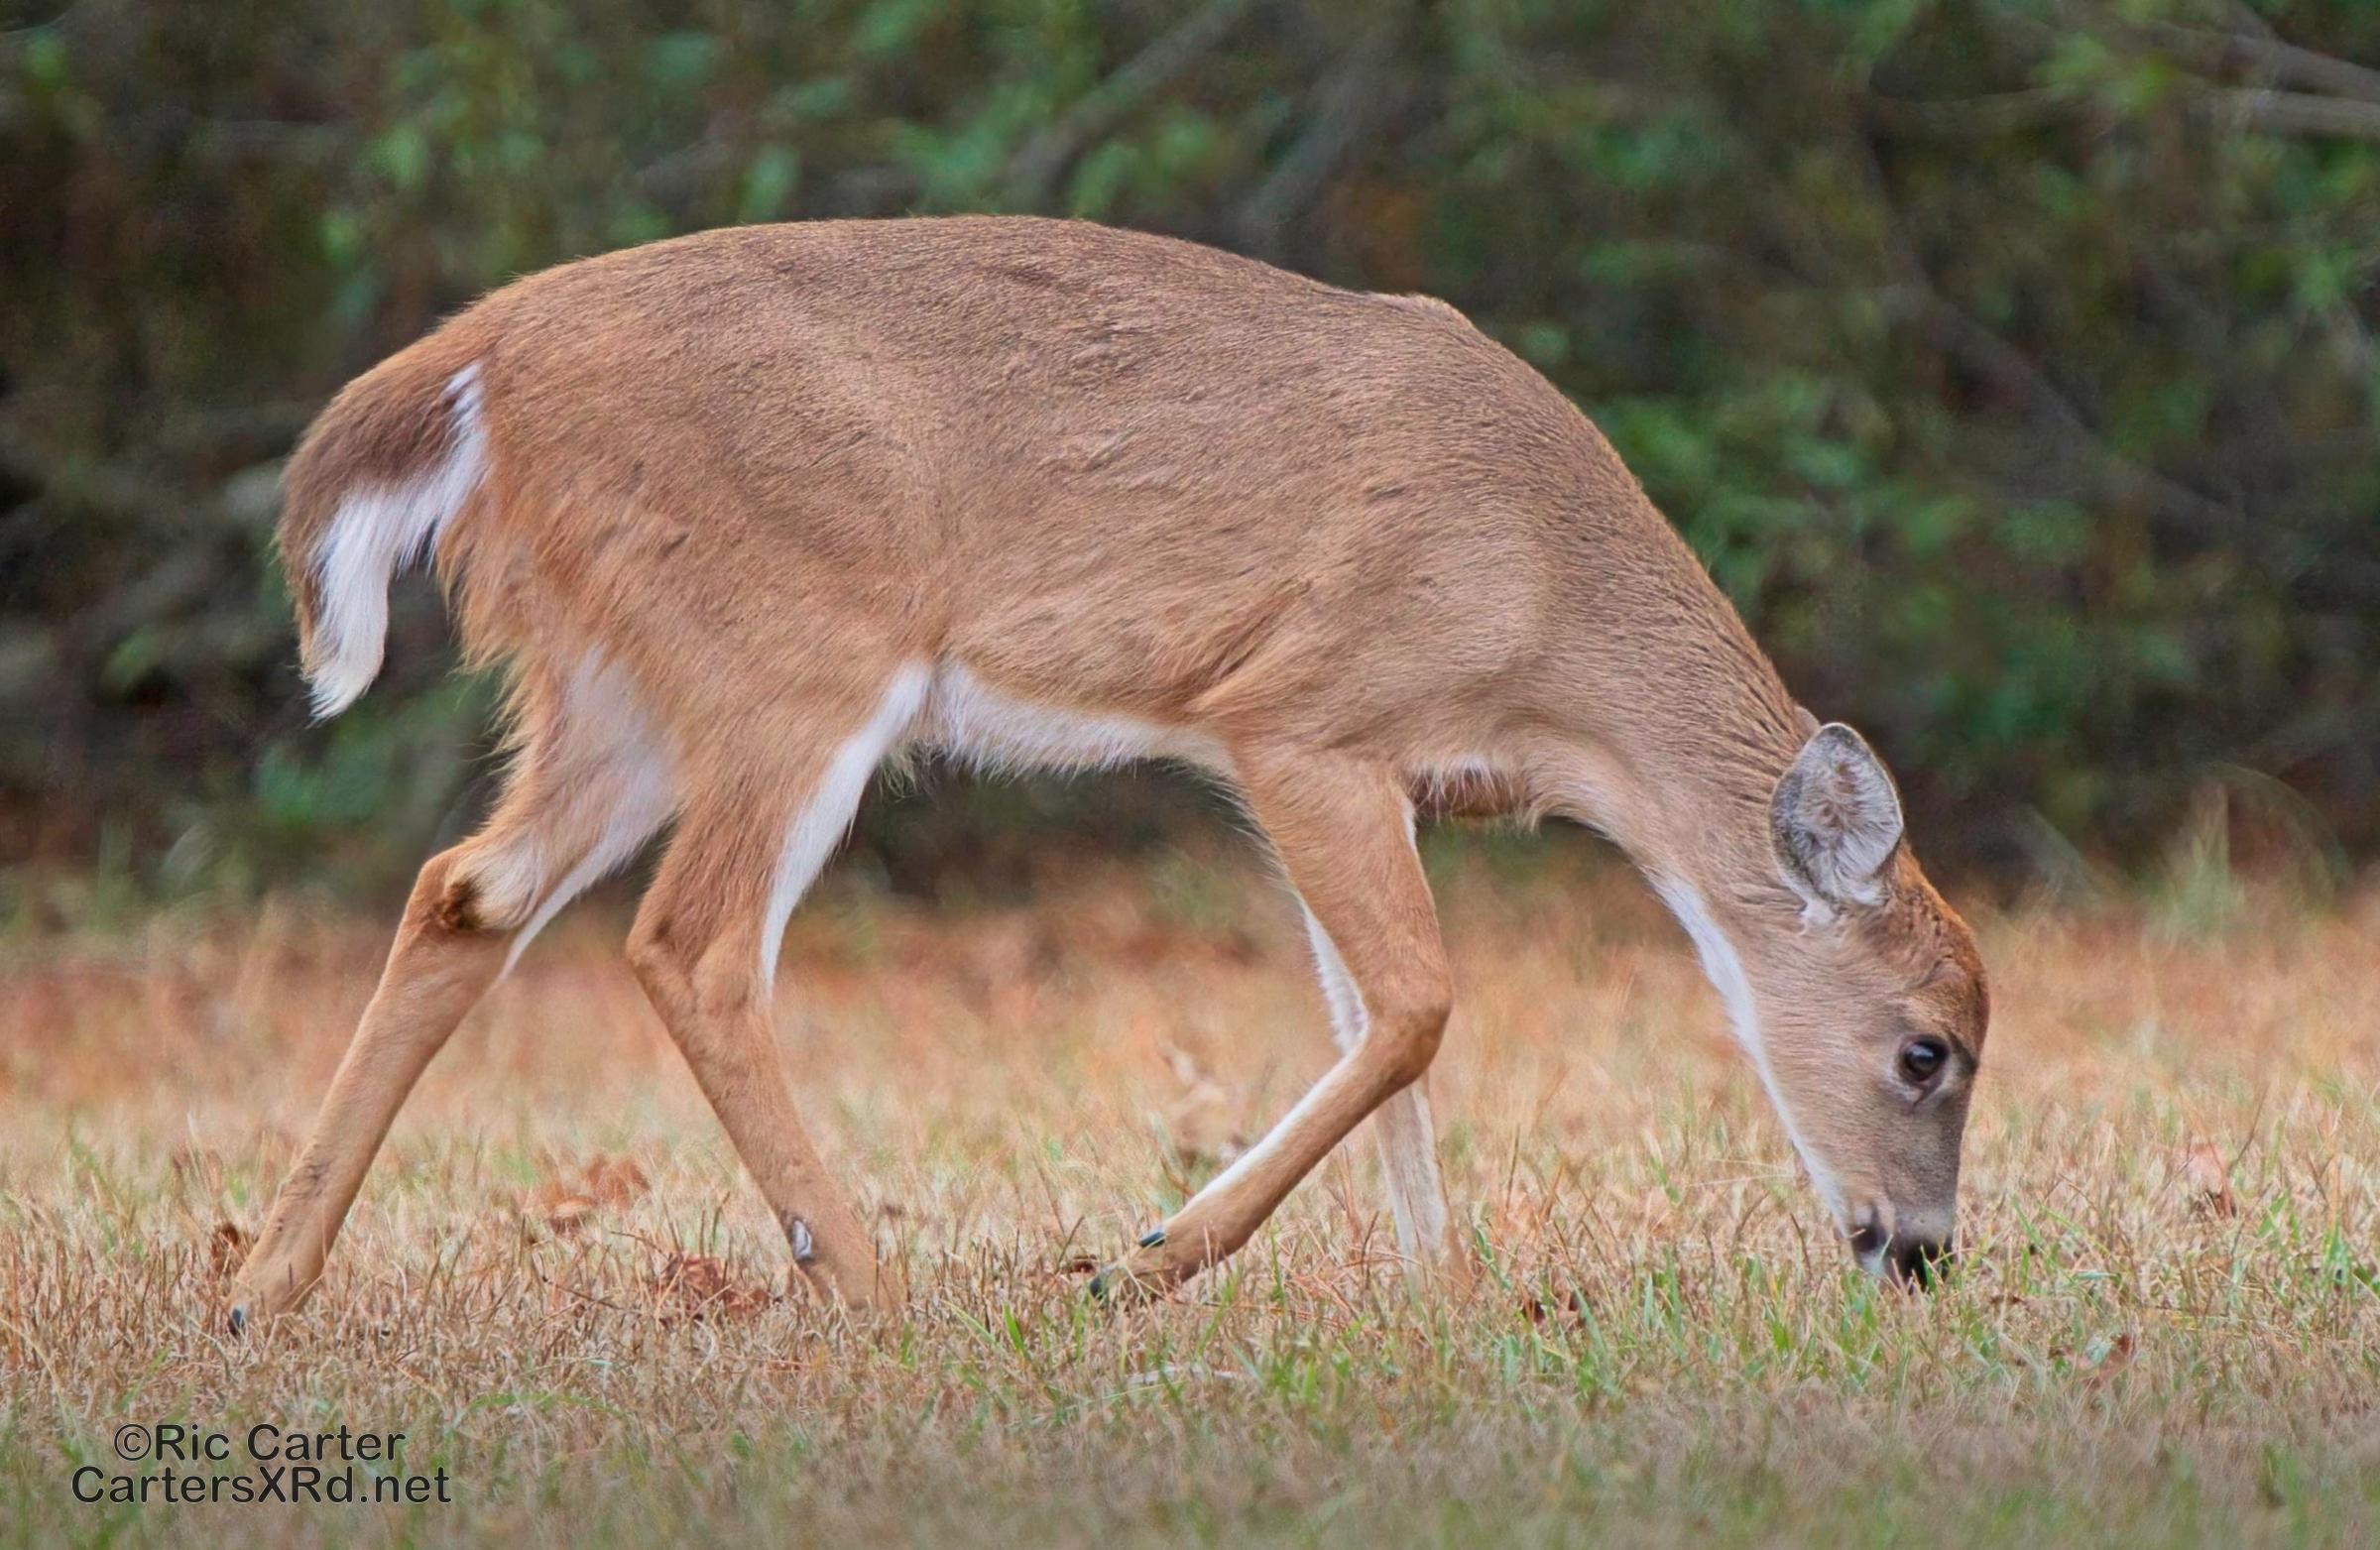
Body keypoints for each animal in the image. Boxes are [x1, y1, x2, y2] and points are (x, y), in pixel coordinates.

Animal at [230, 216, 1988, 1328]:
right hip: (789, 652)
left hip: (617, 684)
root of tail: (476, 365)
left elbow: (1375, 1020)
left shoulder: (1339, 764)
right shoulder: (1303, 713)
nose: (1919, 1254)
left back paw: (263, 1286)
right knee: (693, 941)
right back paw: (878, 1291)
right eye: (1929, 1050)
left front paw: (1449, 1299)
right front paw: (1136, 1263)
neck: (1547, 619)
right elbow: (1419, 1004)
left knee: (464, 891)